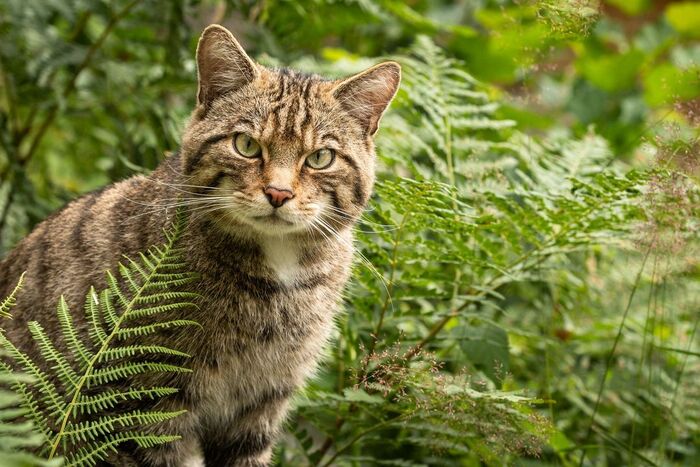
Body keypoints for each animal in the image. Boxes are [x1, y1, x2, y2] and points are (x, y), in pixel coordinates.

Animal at [0, 23, 400, 466]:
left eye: (320, 158)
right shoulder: (149, 405)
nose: (278, 193)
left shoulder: (259, 406)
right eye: (246, 145)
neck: (279, 274)